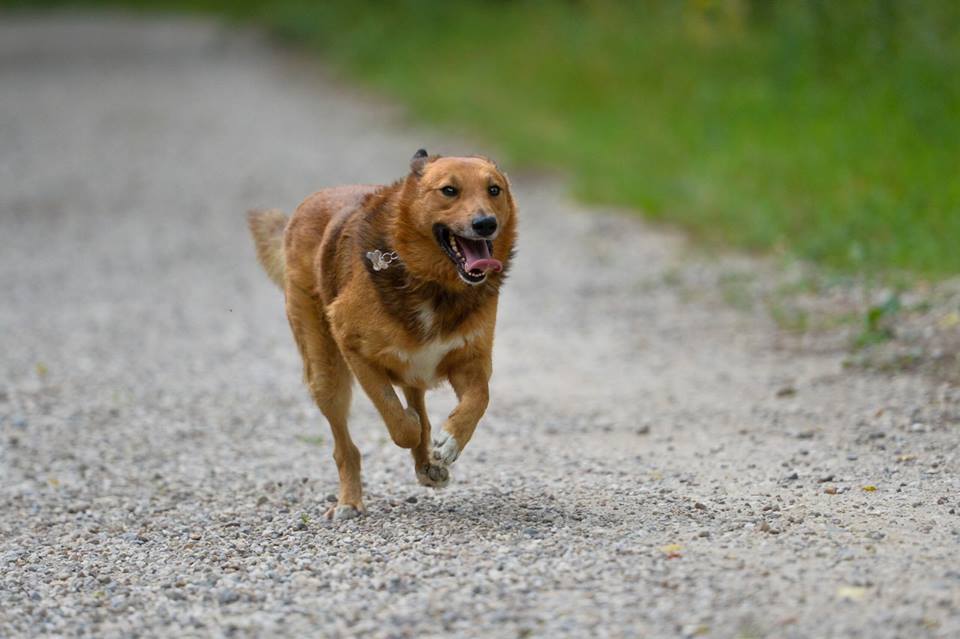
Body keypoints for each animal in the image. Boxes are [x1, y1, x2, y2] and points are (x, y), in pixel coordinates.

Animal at [248, 150, 516, 520]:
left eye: (494, 190)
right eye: (449, 190)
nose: (486, 224)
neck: (434, 285)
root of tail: (308, 203)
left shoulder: (470, 361)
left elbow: (479, 399)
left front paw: (450, 441)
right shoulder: (354, 349)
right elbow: (398, 421)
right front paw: (414, 430)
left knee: (416, 400)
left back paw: (427, 463)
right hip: (325, 373)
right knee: (345, 446)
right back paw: (350, 501)